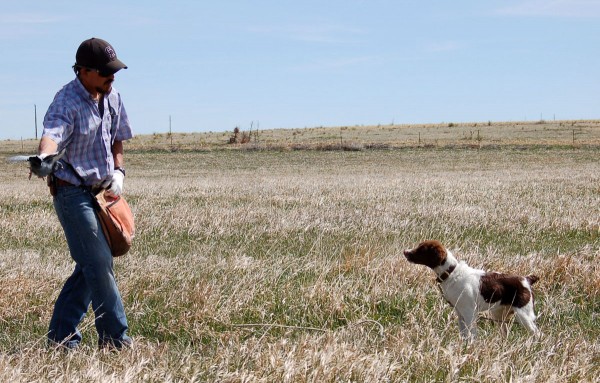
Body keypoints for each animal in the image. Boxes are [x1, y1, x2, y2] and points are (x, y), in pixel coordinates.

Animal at [404, 240, 540, 342]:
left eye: (422, 249)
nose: (405, 252)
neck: (451, 272)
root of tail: (527, 279)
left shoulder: (470, 312)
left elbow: (472, 335)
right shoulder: (460, 312)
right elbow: (464, 334)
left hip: (524, 315)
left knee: (537, 333)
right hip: (499, 314)